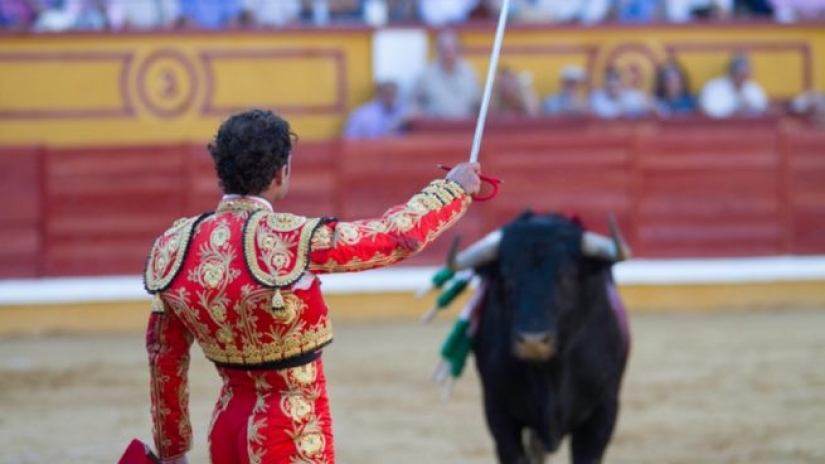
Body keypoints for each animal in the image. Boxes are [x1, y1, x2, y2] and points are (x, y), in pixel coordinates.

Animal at [474, 214, 628, 464]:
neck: (549, 371)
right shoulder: (498, 412)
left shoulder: (603, 413)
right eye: (507, 276)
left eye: (567, 275)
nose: (533, 342)